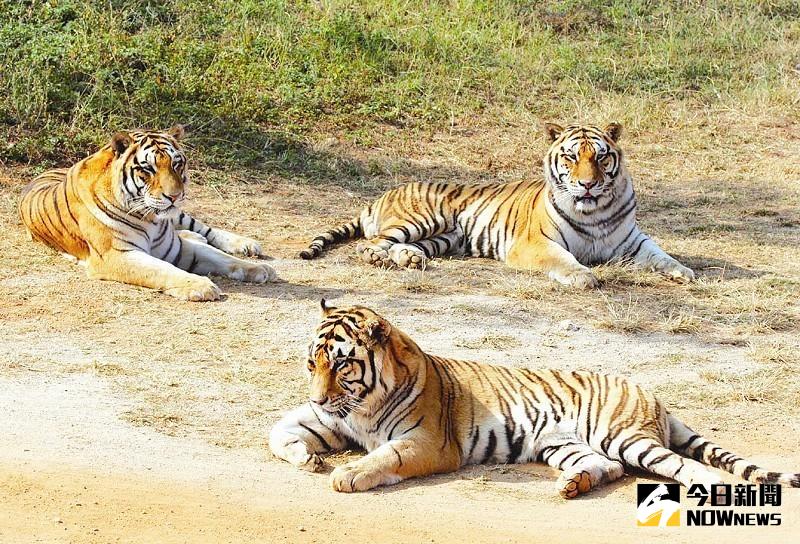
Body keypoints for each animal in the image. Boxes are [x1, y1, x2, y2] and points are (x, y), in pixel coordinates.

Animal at [18, 126, 275, 301]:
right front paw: (200, 286)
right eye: (148, 169)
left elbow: (221, 257)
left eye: (176, 164)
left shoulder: (177, 247)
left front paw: (260, 269)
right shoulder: (116, 255)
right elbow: (161, 269)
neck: (151, 219)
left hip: (181, 216)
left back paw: (245, 244)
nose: (174, 196)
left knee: (204, 229)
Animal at [270, 301, 799, 496]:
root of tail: (652, 394)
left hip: (626, 436)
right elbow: (278, 430)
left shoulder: (429, 443)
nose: (319, 399)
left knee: (684, 465)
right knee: (608, 467)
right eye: (312, 364)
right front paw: (307, 459)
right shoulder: (332, 421)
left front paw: (346, 475)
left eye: (342, 366)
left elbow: (385, 456)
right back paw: (573, 485)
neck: (363, 404)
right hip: (562, 443)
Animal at [299, 123, 694, 288]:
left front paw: (684, 272)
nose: (587, 184)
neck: (594, 211)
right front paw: (583, 276)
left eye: (600, 157)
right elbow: (564, 259)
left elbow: (662, 256)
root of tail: (383, 194)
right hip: (423, 219)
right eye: (570, 157)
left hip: (444, 237)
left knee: (401, 248)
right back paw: (380, 257)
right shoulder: (534, 244)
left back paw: (410, 260)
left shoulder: (633, 241)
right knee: (372, 244)